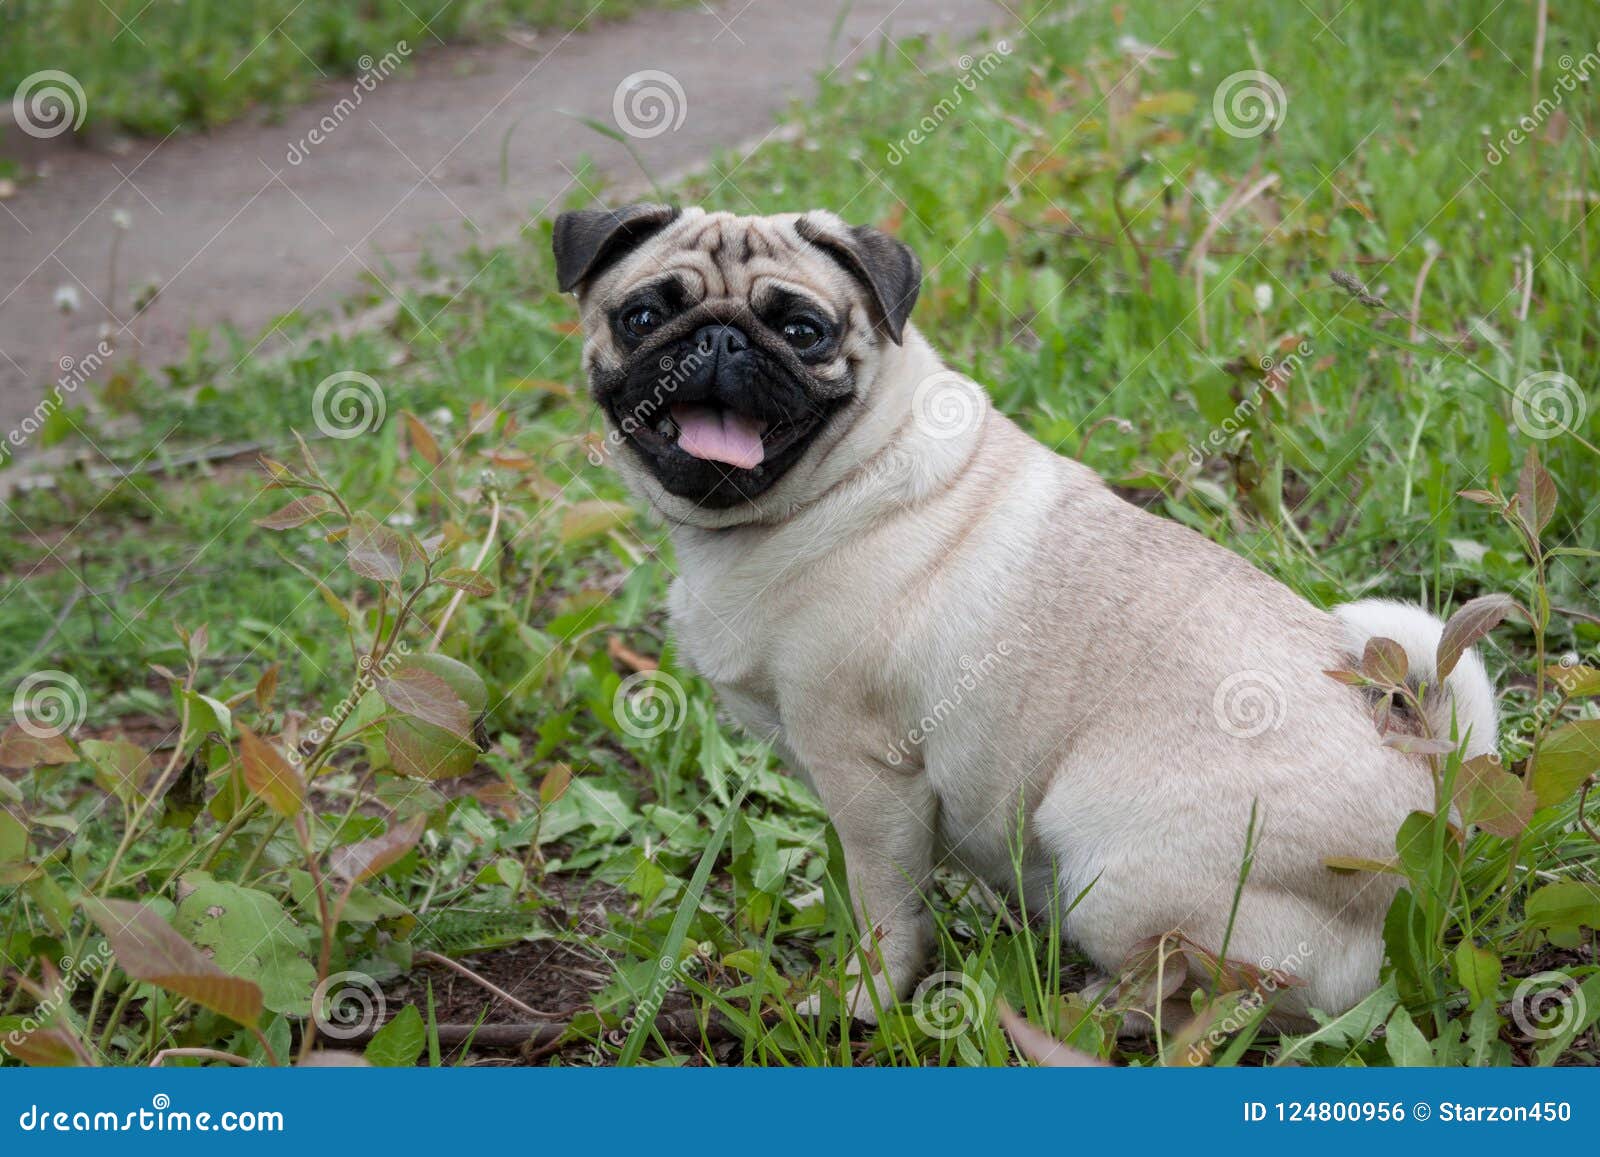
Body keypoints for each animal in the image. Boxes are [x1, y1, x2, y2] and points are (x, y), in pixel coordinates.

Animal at [553, 204, 1497, 1024]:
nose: (717, 338)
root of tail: (1433, 819)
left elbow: (886, 906)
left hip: (1105, 859)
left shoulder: (866, 771)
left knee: (1216, 987)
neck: (828, 485)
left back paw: (1098, 1012)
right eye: (643, 316)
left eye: (803, 331)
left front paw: (864, 997)